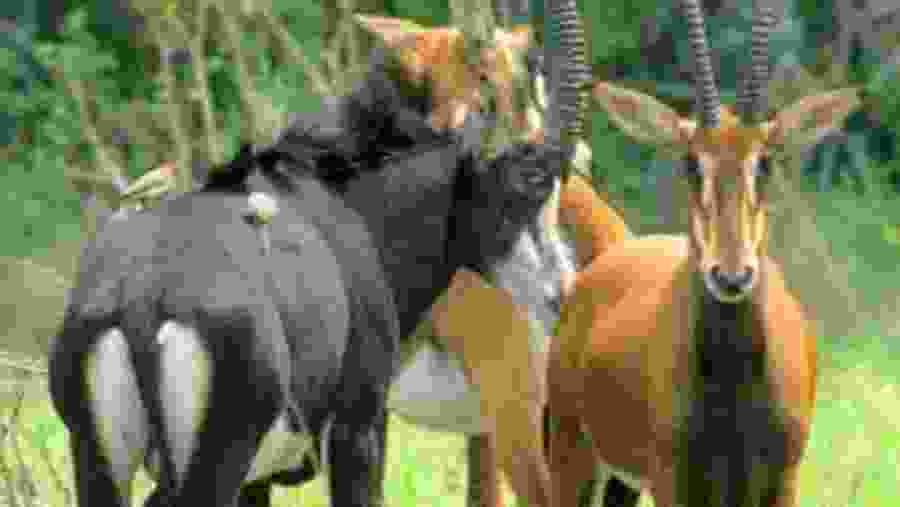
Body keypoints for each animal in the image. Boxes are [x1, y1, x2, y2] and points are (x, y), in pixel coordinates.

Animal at [545, 2, 859, 507]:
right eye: (691, 163)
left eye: (765, 162)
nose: (731, 277)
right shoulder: (671, 481)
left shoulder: (783, 481)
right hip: (571, 455)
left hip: (621, 481)